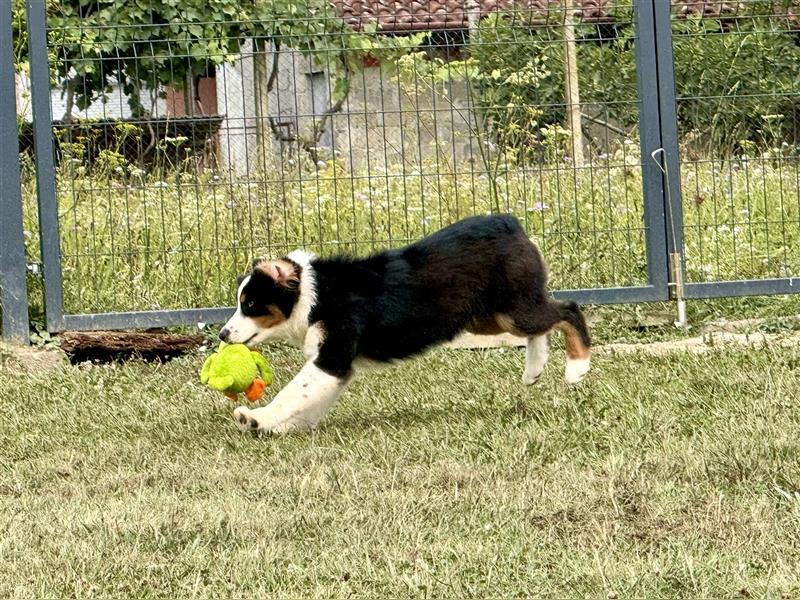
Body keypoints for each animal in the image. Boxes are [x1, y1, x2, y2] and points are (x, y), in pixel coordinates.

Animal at [217, 213, 588, 434]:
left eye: (250, 305)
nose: (222, 334)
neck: (315, 293)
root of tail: (509, 223)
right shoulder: (336, 366)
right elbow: (309, 403)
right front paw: (281, 428)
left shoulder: (332, 357)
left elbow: (293, 393)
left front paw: (257, 418)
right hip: (489, 317)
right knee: (543, 326)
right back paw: (534, 370)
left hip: (513, 309)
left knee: (568, 310)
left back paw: (577, 368)